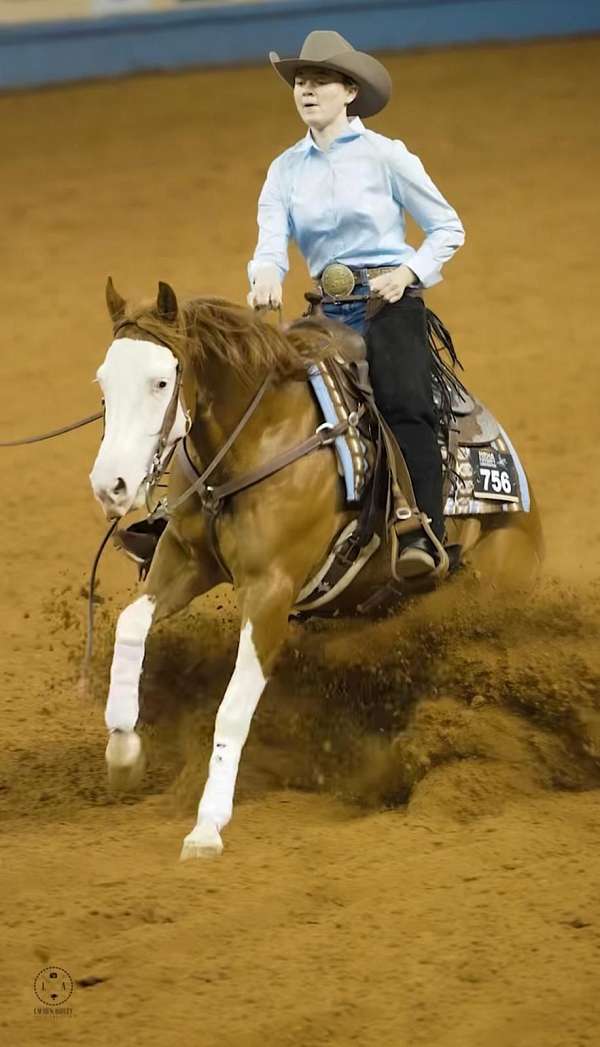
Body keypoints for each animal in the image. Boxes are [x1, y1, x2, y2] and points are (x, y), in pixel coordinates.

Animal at [90, 278, 542, 859]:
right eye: (104, 382)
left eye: (161, 381)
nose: (111, 486)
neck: (256, 438)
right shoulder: (186, 560)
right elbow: (131, 625)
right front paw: (124, 752)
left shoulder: (271, 590)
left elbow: (233, 707)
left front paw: (206, 827)